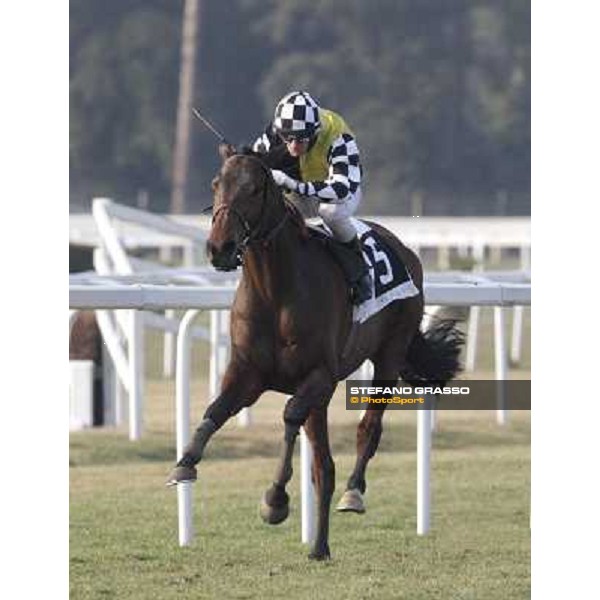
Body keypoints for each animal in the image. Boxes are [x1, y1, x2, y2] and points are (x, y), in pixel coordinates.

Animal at [169, 148, 464, 560]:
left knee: (368, 429)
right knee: (323, 467)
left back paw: (353, 494)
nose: (219, 248)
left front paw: (275, 499)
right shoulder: (247, 372)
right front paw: (185, 463)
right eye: (216, 183)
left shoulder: (320, 375)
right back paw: (320, 546)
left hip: (388, 355)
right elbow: (216, 410)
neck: (275, 292)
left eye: (255, 188)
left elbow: (290, 416)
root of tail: (404, 249)